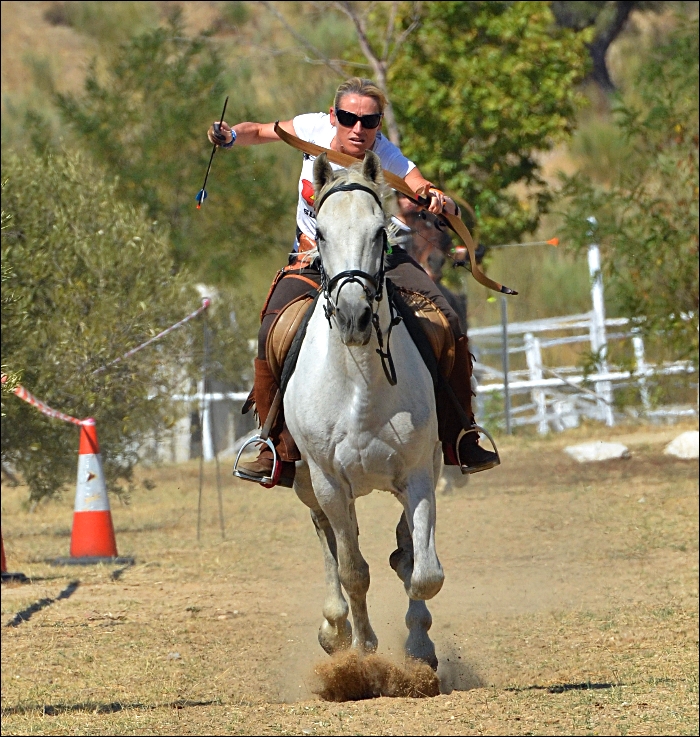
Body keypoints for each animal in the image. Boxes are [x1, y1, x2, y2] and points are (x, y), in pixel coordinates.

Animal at [284, 151, 442, 668]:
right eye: (321, 234)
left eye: (379, 233)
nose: (354, 317)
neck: (361, 385)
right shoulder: (329, 483)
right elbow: (353, 571)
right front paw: (361, 653)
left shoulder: (419, 473)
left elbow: (423, 572)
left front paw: (419, 649)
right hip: (306, 482)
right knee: (331, 542)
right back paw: (335, 630)